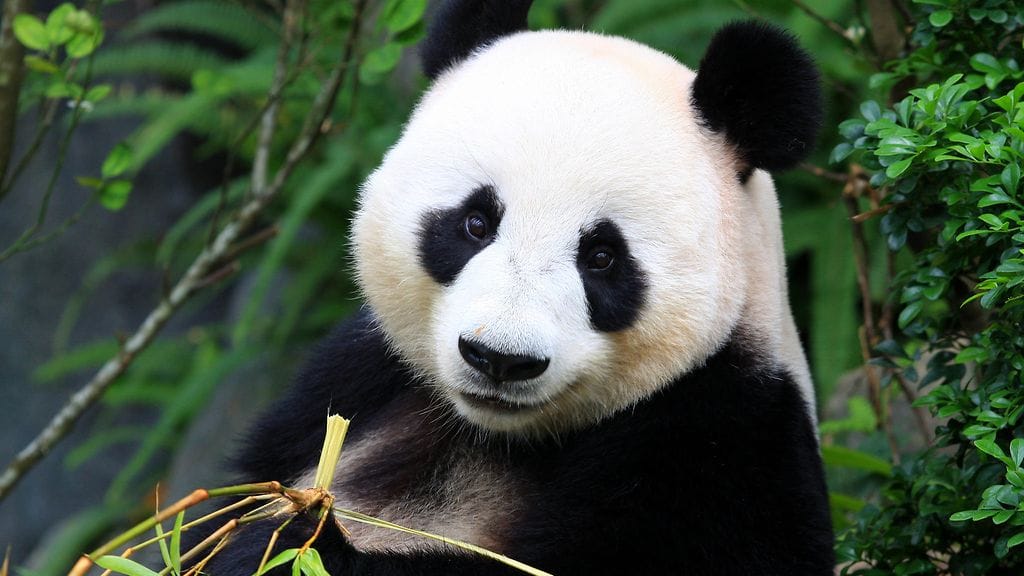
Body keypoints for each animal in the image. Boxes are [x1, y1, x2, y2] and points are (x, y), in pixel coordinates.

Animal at [201, 0, 833, 574]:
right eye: (476, 223)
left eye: (602, 257)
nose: (499, 359)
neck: (495, 434)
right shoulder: (356, 377)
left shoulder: (724, 445)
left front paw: (277, 544)